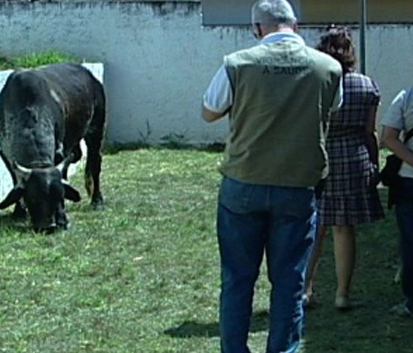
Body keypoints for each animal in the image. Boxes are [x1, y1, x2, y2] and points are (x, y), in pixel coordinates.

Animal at [0, 63, 106, 231]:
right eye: (33, 198)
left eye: (59, 196)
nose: (48, 226)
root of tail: (90, 75)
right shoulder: (5, 155)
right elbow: (15, 179)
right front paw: (19, 212)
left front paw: (62, 218)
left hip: (96, 130)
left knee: (95, 163)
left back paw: (97, 200)